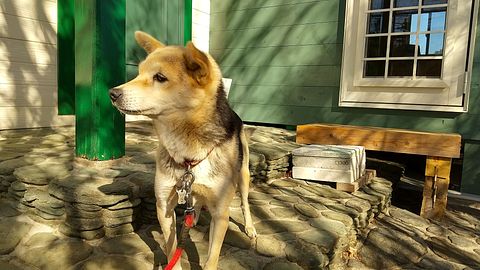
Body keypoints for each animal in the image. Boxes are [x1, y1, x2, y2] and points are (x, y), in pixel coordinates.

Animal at [109, 30, 256, 268]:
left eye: (160, 78)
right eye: (138, 73)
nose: (112, 93)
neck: (189, 150)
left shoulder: (220, 214)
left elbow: (212, 258)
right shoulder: (164, 206)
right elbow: (171, 247)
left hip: (243, 177)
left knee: (245, 203)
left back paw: (250, 227)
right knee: (195, 201)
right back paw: (192, 217)